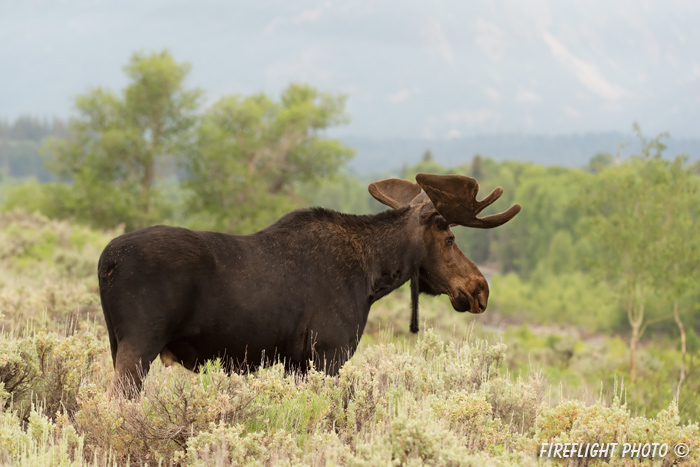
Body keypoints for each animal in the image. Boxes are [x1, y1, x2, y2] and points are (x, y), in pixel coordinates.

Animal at [100, 173, 520, 394]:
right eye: (449, 238)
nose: (480, 288)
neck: (373, 276)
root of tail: (106, 262)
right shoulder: (330, 352)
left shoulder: (296, 362)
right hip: (140, 343)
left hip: (117, 342)